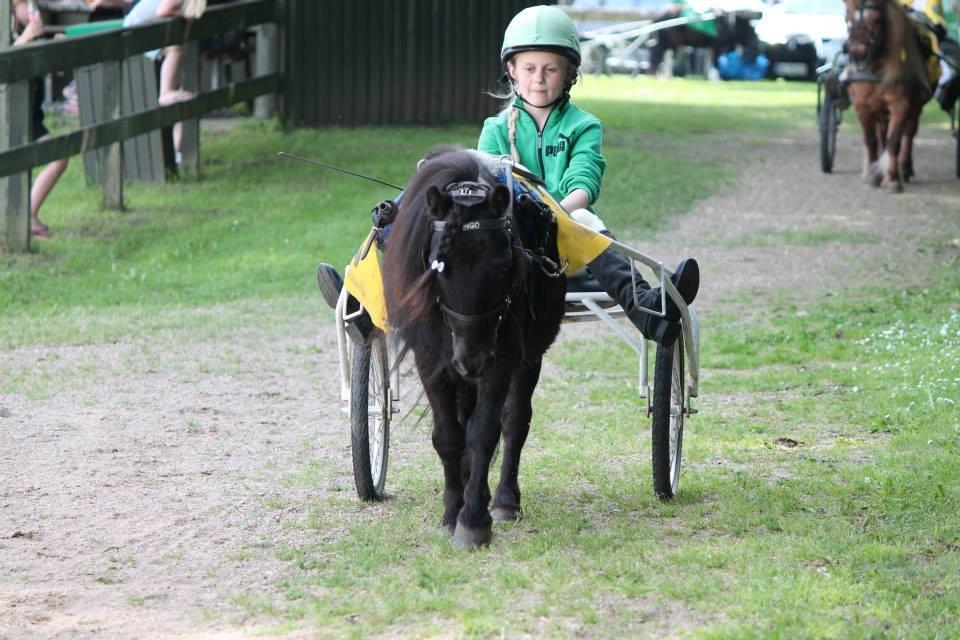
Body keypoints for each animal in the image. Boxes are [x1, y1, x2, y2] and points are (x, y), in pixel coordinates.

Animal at [380, 148, 568, 548]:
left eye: (504, 265)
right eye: (438, 266)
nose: (473, 358)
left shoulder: (501, 358)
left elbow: (484, 432)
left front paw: (473, 520)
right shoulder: (430, 361)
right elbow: (449, 436)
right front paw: (453, 510)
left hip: (527, 355)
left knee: (514, 420)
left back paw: (504, 499)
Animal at [848, 0, 928, 191]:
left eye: (876, 20)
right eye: (850, 20)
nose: (857, 53)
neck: (876, 70)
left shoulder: (901, 105)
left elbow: (894, 141)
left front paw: (892, 178)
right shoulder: (862, 105)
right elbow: (871, 140)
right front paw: (872, 175)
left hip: (915, 107)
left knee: (908, 133)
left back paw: (904, 168)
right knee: (882, 135)